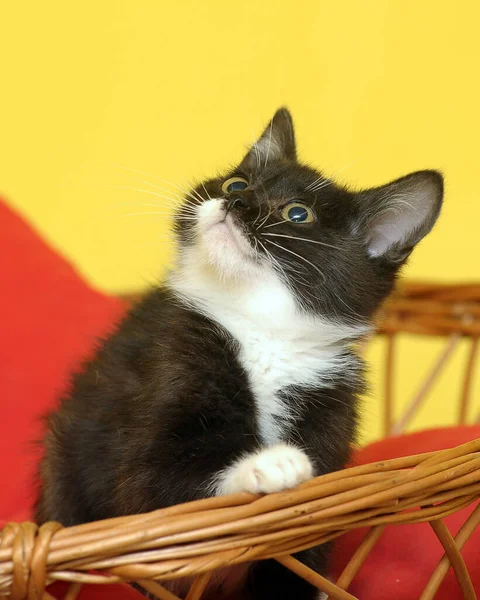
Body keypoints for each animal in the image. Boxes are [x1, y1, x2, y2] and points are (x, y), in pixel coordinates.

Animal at [35, 109, 444, 600]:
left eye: (297, 214)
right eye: (235, 183)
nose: (237, 202)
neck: (260, 330)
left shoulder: (330, 404)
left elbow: (305, 542)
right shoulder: (164, 371)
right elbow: (157, 490)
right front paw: (269, 464)